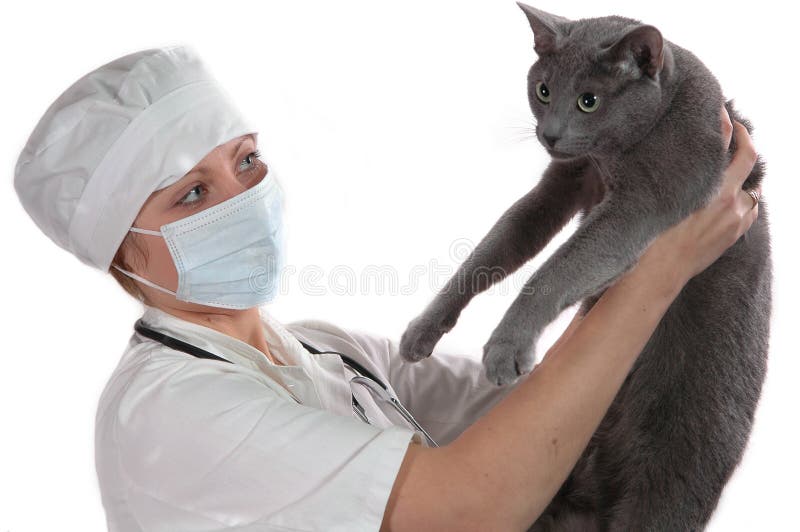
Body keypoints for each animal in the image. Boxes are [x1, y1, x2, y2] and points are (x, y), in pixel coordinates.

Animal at [396, 4, 772, 532]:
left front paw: (505, 348)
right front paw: (423, 330)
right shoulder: (561, 185)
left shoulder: (646, 201)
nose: (549, 133)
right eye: (543, 90)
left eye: (589, 101)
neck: (608, 158)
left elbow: (557, 268)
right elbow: (494, 247)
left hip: (678, 460)